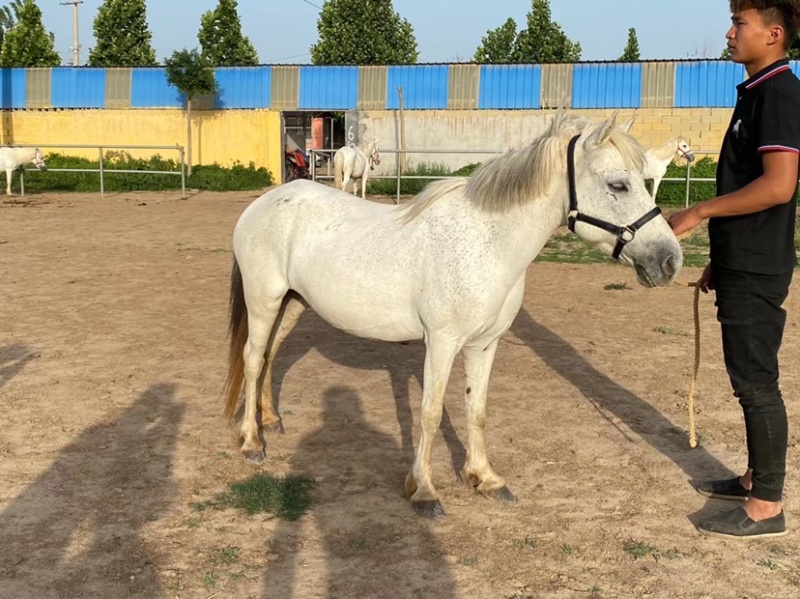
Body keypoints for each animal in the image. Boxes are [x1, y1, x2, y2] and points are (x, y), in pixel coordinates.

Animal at [223, 111, 683, 519]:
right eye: (617, 185)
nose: (670, 260)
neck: (488, 243)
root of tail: (264, 203)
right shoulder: (442, 343)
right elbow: (429, 413)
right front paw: (424, 491)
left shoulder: (484, 344)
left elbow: (476, 409)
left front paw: (485, 478)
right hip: (263, 301)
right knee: (252, 360)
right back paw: (251, 443)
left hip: (292, 302)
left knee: (269, 356)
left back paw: (271, 421)